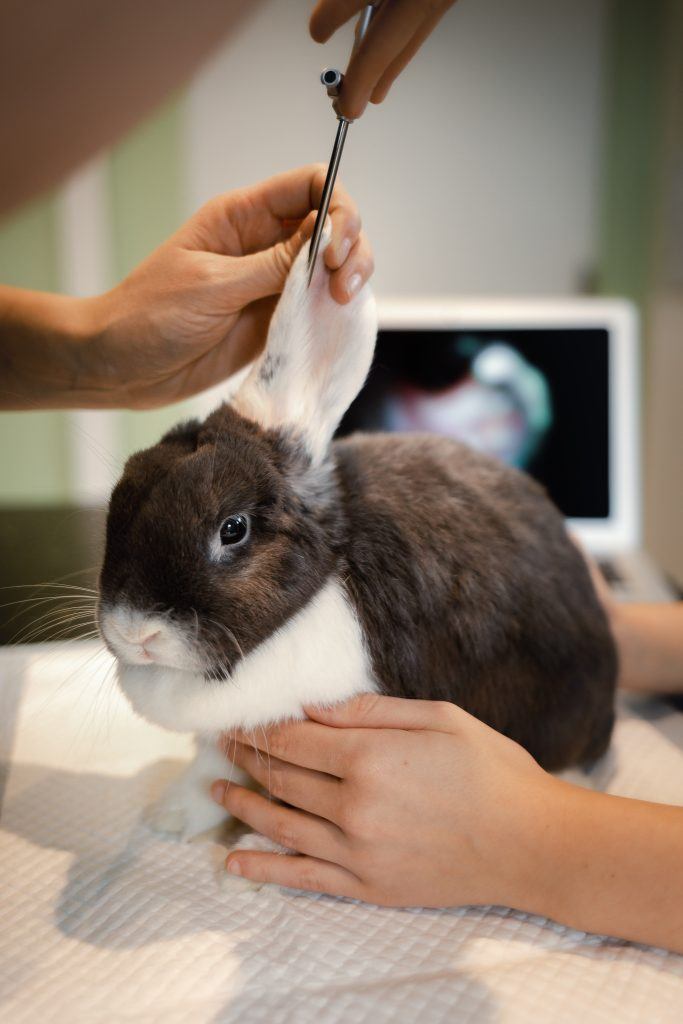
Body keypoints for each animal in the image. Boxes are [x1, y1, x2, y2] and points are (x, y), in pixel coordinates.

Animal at [98, 235, 617, 841]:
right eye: (122, 491)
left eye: (233, 528)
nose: (136, 631)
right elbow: (209, 766)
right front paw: (170, 817)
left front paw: (266, 844)